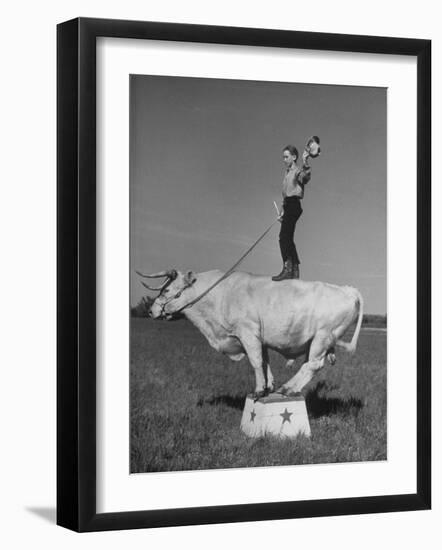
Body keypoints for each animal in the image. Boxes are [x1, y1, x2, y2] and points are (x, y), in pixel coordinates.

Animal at [145, 270, 362, 398]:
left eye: (167, 290)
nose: (150, 311)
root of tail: (347, 290)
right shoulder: (259, 338)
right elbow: (265, 361)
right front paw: (268, 386)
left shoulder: (248, 333)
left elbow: (256, 362)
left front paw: (258, 390)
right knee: (308, 365)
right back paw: (288, 387)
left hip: (322, 337)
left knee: (314, 365)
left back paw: (288, 388)